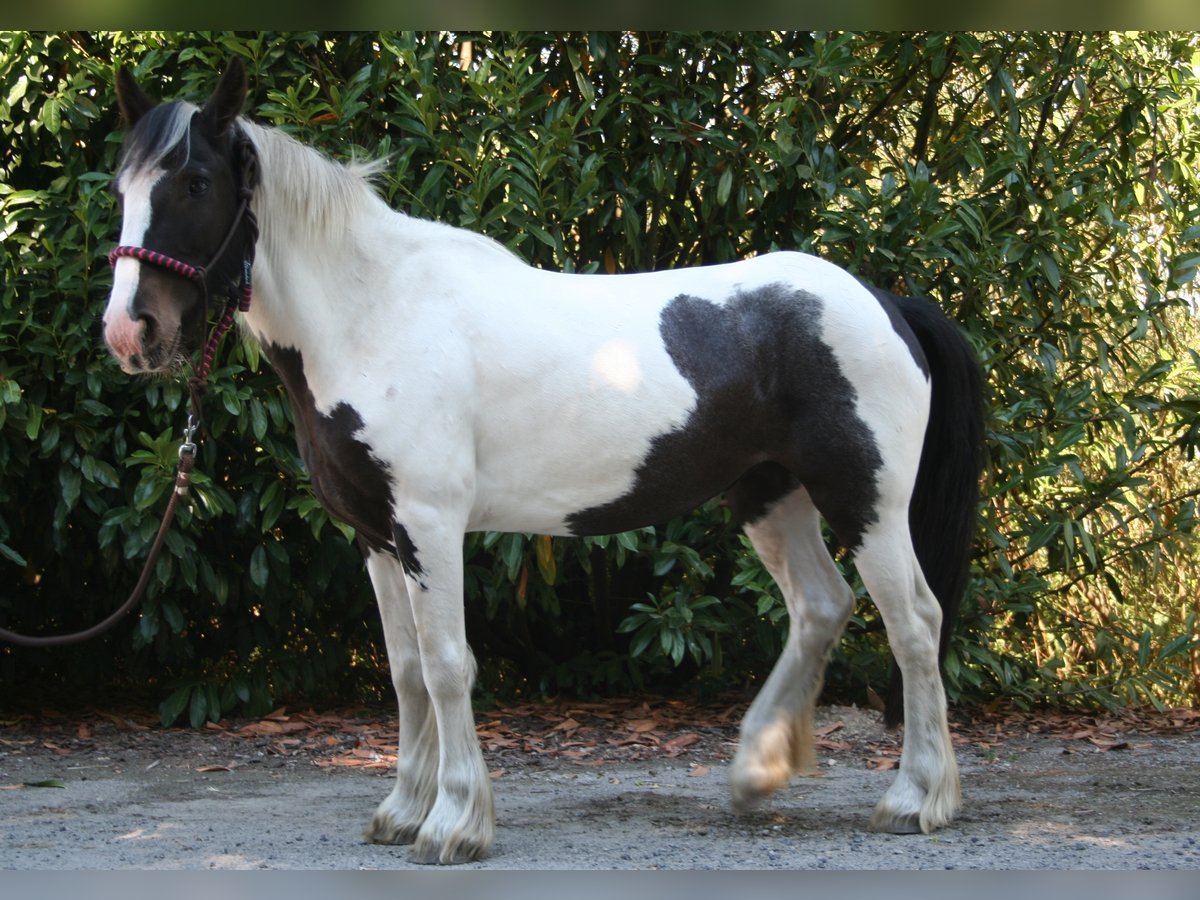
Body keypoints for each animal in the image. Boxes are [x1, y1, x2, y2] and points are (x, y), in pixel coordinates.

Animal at [100, 60, 984, 864]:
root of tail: (886, 302)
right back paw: (756, 771)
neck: (374, 313)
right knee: (820, 607)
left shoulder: (429, 524)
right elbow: (406, 670)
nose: (131, 332)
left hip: (864, 500)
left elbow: (448, 666)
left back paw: (916, 799)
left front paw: (454, 824)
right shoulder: (377, 536)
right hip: (770, 496)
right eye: (123, 186)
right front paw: (401, 812)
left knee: (914, 623)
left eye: (195, 182)